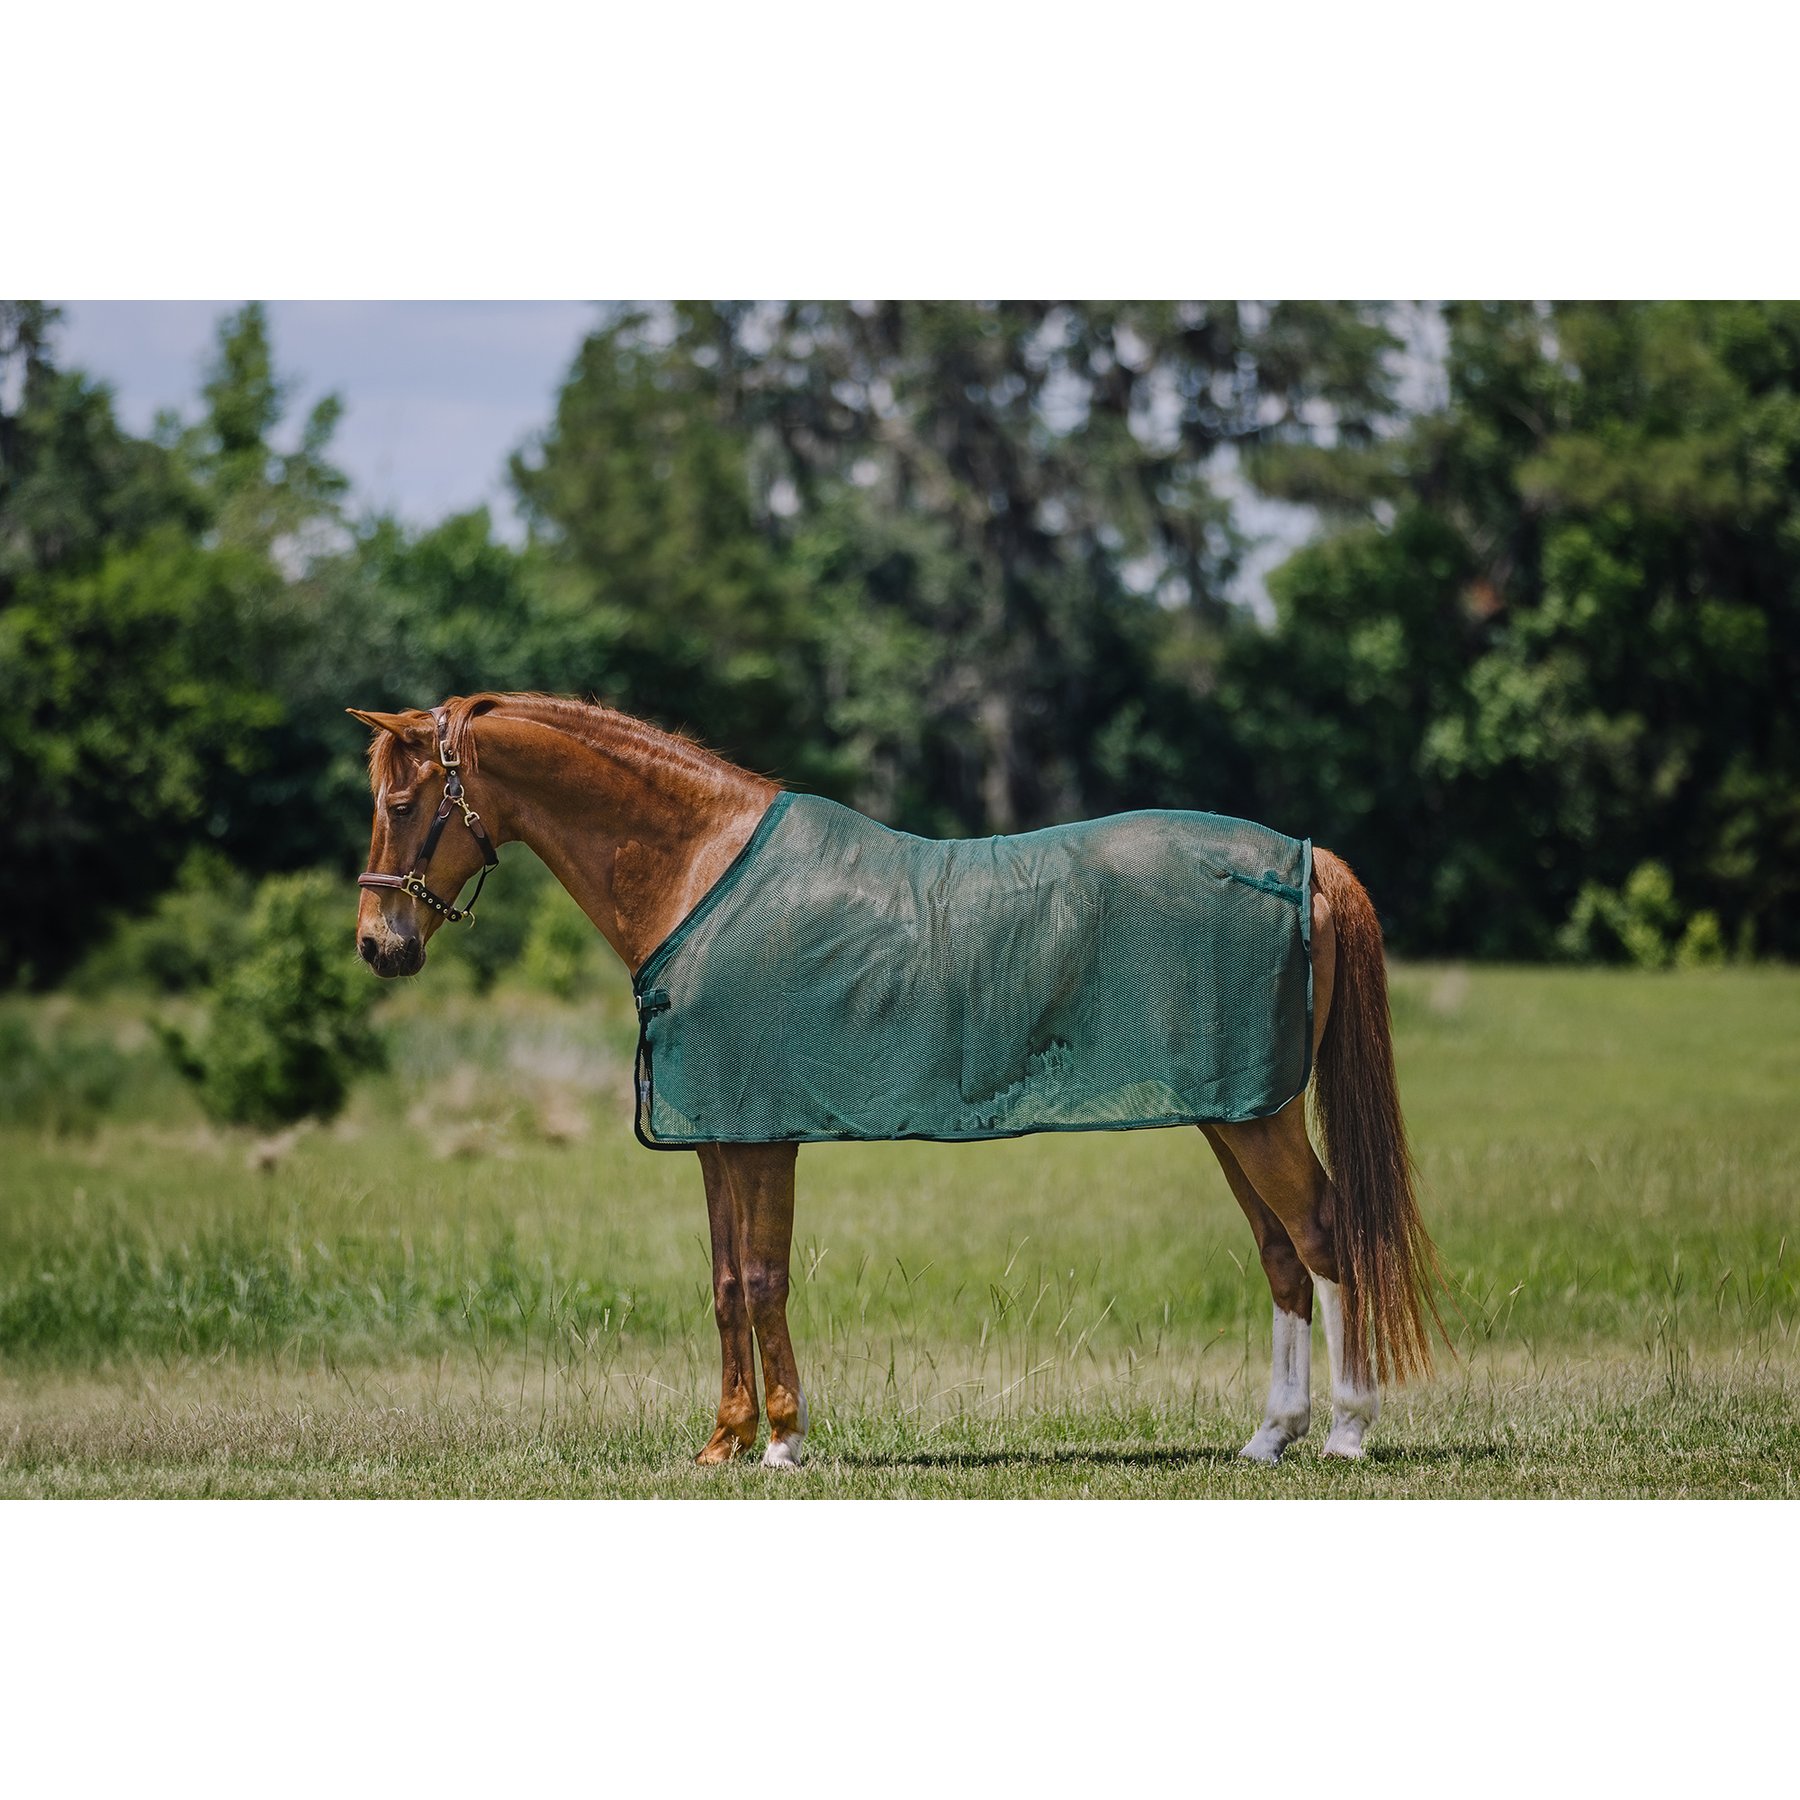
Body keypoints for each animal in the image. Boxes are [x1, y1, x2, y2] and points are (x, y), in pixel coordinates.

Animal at [350, 691, 1444, 1468]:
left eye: (402, 805)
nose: (376, 945)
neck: (699, 870)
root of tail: (1308, 861)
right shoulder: (718, 1133)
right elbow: (724, 1283)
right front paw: (723, 1442)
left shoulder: (764, 1133)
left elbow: (763, 1277)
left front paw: (785, 1442)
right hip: (1234, 1107)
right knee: (1282, 1253)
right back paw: (1270, 1436)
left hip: (1256, 1115)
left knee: (1325, 1233)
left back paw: (1346, 1432)